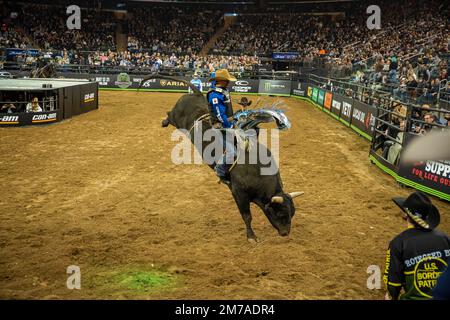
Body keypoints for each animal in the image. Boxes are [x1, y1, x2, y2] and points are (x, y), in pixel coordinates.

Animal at [140, 75, 302, 242]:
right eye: (280, 213)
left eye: (292, 213)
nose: (285, 233)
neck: (257, 173)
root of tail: (197, 94)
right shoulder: (238, 194)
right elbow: (247, 216)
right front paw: (251, 236)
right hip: (176, 118)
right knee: (169, 114)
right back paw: (163, 122)